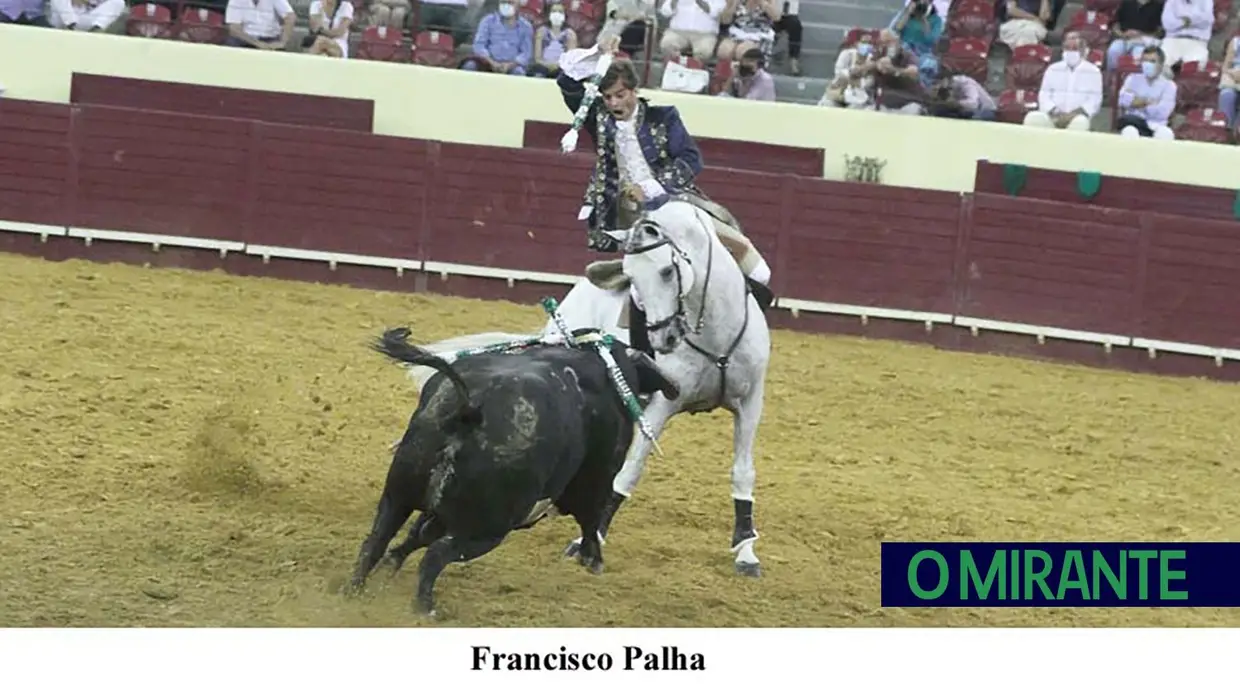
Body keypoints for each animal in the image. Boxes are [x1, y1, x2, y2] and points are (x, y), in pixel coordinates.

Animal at [347, 324, 679, 612]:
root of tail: (470, 410)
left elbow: (416, 535)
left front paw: (392, 564)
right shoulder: (597, 479)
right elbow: (591, 518)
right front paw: (591, 559)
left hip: (398, 496)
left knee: (376, 542)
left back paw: (352, 592)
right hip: (486, 529)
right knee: (434, 556)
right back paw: (424, 609)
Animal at [406, 199, 768, 575]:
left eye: (668, 272)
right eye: (632, 279)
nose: (664, 339)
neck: (714, 331)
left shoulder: (751, 401)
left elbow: (743, 472)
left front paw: (746, 549)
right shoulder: (661, 406)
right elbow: (628, 473)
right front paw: (590, 538)